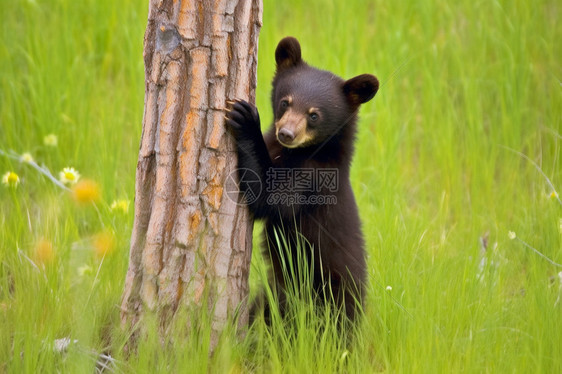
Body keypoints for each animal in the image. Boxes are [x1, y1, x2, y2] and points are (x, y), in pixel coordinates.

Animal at [225, 37, 378, 322]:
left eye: (314, 115)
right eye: (286, 102)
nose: (286, 133)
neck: (301, 152)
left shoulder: (313, 178)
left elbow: (270, 197)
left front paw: (246, 118)